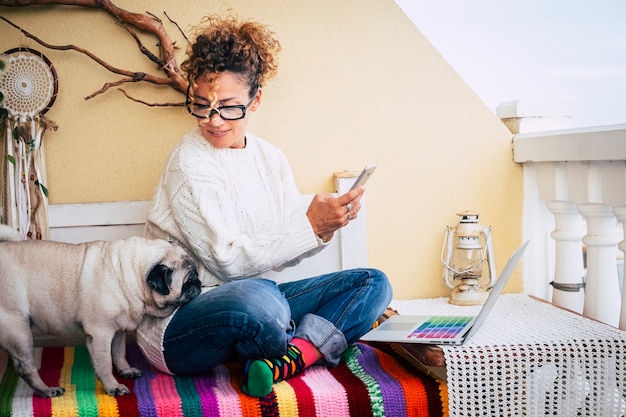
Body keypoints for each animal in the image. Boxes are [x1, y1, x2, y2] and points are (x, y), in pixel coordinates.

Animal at [0, 224, 200, 396]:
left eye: (196, 275)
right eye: (187, 282)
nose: (198, 282)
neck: (131, 272)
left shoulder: (118, 331)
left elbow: (119, 354)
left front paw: (125, 370)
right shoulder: (100, 335)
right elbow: (104, 364)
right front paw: (113, 387)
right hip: (19, 331)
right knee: (26, 367)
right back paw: (47, 390)